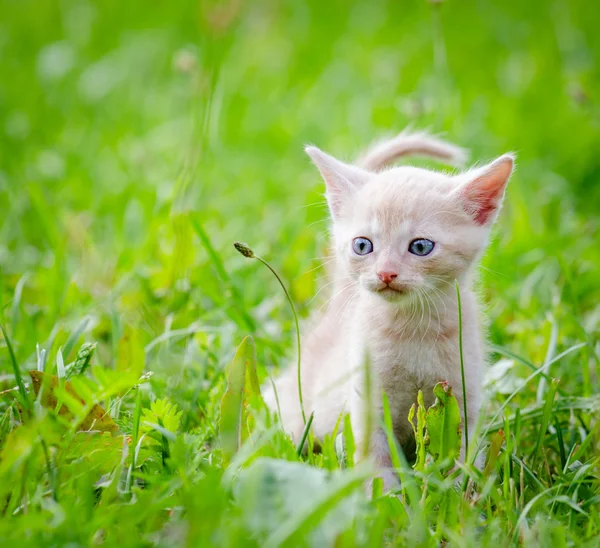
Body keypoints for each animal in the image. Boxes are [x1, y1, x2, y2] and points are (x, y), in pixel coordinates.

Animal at [264, 130, 512, 488]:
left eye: (420, 246)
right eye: (362, 245)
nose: (385, 273)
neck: (412, 328)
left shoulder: (464, 400)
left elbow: (462, 460)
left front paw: (458, 495)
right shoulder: (366, 404)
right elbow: (375, 463)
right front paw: (387, 499)